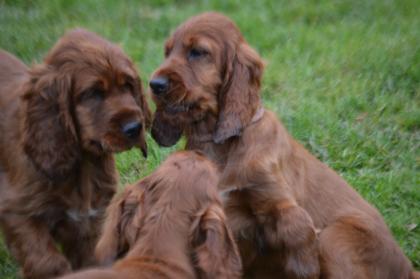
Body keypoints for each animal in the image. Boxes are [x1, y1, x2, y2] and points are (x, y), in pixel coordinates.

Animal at [0, 29, 151, 279]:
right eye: (94, 93)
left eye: (128, 85)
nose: (134, 128)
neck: (82, 163)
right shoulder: (18, 212)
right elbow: (47, 263)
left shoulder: (92, 223)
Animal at [149, 12, 416, 279]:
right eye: (167, 52)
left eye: (198, 52)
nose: (154, 84)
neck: (217, 142)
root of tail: (407, 268)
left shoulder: (279, 202)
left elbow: (299, 238)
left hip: (334, 238)